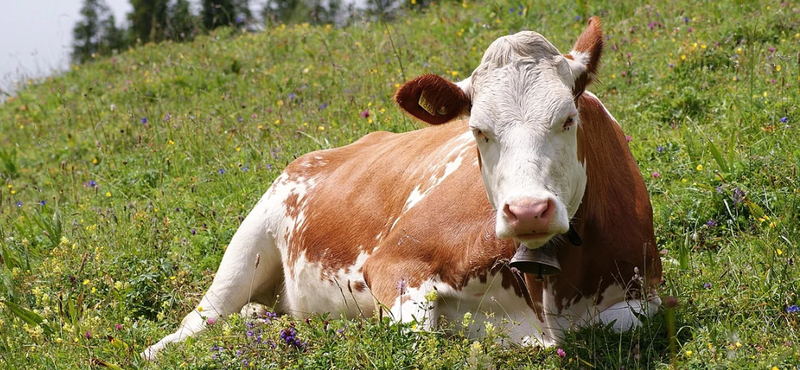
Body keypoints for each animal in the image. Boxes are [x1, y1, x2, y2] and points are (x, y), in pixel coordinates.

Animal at [142, 16, 664, 358]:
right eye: (478, 130)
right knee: (200, 319)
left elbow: (626, 321)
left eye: (567, 119)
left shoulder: (647, 294)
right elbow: (419, 334)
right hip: (251, 240)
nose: (528, 210)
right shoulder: (394, 263)